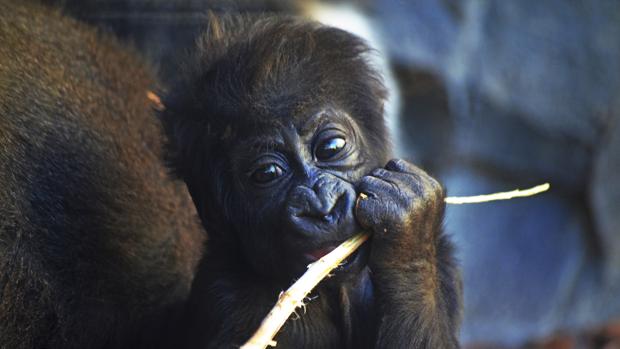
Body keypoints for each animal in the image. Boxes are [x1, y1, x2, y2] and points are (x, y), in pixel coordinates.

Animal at [162, 14, 462, 348]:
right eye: (267, 174)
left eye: (330, 148)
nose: (322, 206)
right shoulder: (226, 296)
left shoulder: (444, 260)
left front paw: (406, 230)